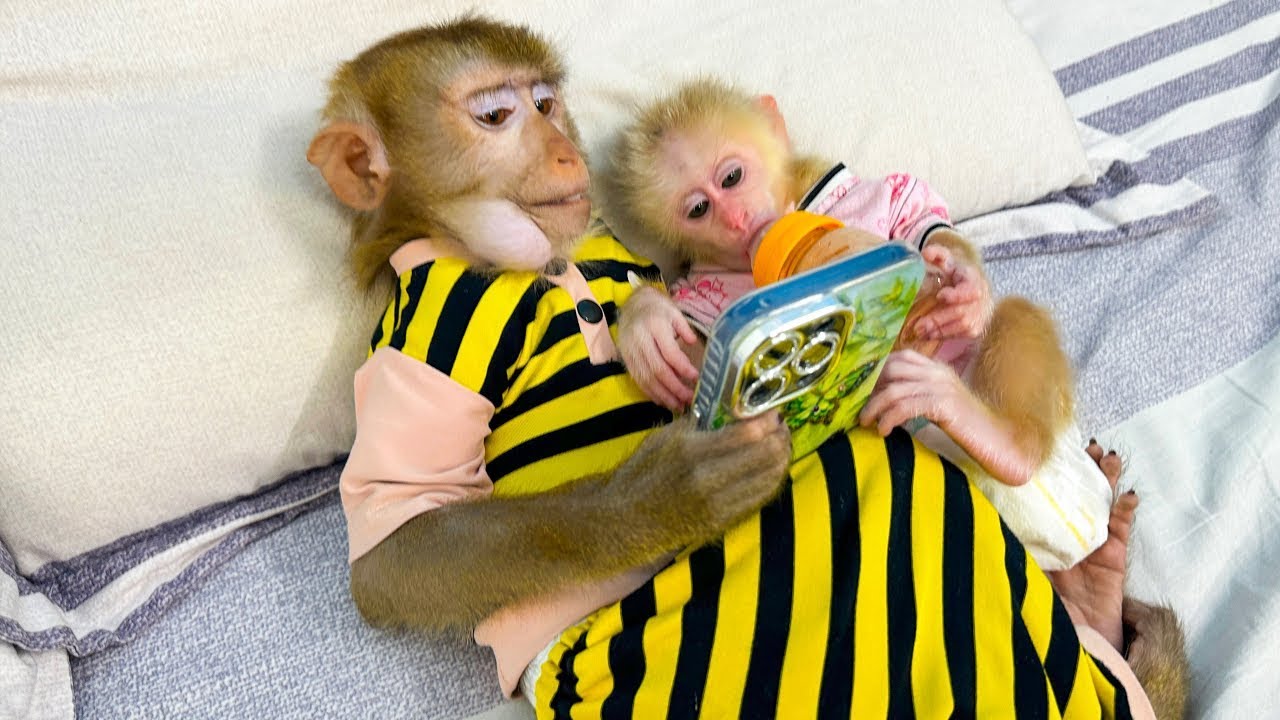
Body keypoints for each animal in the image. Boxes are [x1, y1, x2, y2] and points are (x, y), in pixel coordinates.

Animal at [308, 18, 1159, 717]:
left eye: (542, 105)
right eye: (494, 117)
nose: (563, 150)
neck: (540, 265)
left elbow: (908, 208)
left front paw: (950, 261)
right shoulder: (427, 329)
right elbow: (392, 552)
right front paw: (671, 477)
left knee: (1006, 337)